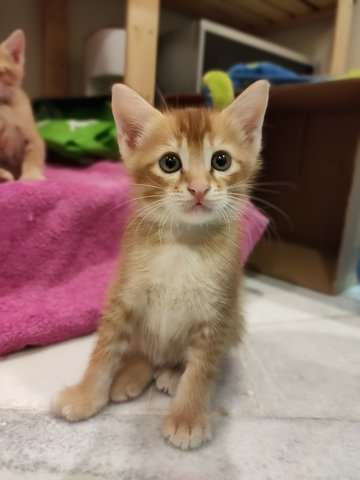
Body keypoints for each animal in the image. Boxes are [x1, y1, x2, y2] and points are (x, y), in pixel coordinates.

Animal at [52, 79, 268, 450]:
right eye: (170, 163)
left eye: (221, 160)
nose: (199, 189)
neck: (182, 242)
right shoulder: (122, 295)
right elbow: (105, 350)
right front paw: (86, 397)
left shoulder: (219, 310)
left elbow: (202, 369)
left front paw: (187, 419)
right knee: (145, 352)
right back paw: (130, 376)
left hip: (235, 321)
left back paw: (170, 374)